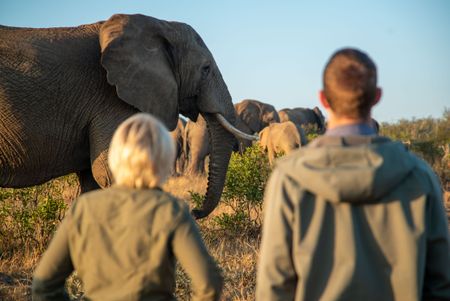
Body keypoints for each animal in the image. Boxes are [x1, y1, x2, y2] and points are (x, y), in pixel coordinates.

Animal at [0, 13, 255, 218]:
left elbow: (93, 181)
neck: (159, 25)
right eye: (205, 69)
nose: (195, 211)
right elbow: (110, 172)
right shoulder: (110, 98)